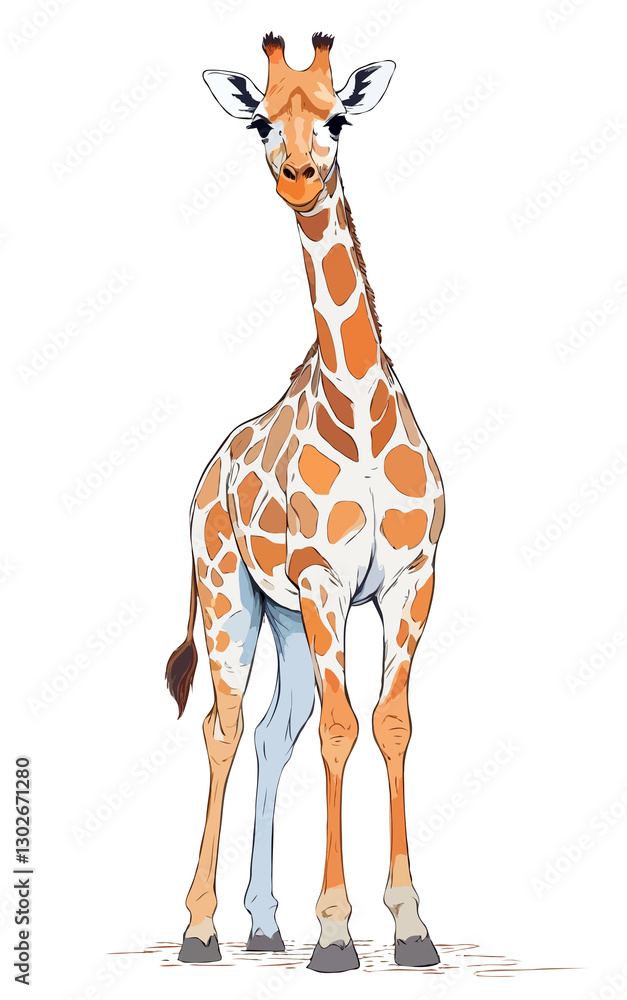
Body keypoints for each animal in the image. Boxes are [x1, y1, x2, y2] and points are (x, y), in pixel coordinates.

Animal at [166, 32, 445, 973]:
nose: (295, 174)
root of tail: (208, 475)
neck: (357, 409)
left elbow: (388, 724)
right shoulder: (326, 580)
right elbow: (339, 730)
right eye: (259, 119)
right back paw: (200, 929)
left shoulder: (410, 580)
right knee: (221, 729)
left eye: (337, 118)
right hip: (230, 597)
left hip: (283, 615)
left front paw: (411, 929)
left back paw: (259, 923)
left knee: (267, 730)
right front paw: (334, 934)